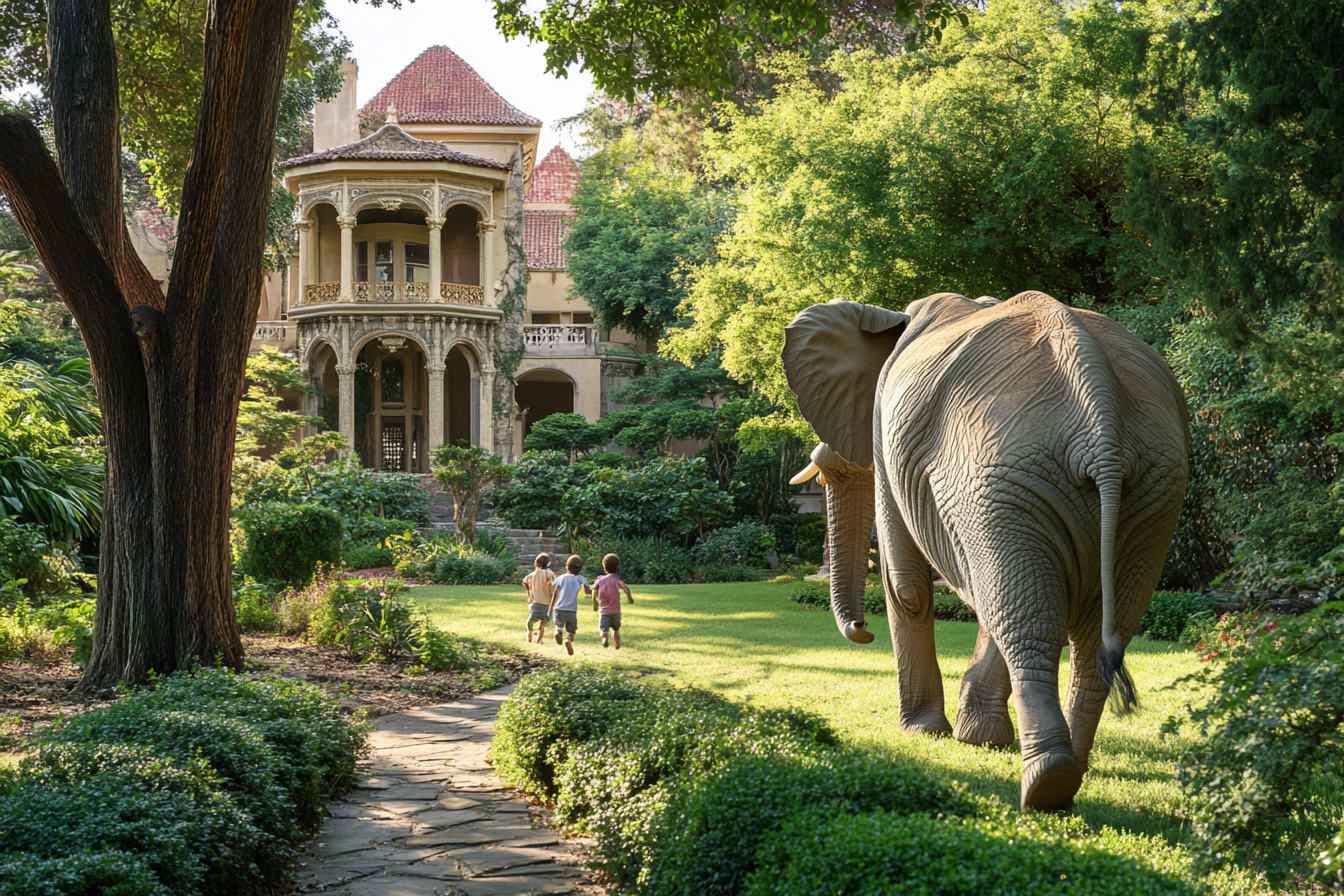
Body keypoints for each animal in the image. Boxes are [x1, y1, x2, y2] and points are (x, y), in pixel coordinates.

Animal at [784, 291, 1188, 811]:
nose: (861, 631)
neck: (889, 318)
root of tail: (1098, 406)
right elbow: (986, 592)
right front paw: (980, 739)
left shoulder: (884, 430)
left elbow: (908, 586)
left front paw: (925, 732)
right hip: (1149, 488)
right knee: (1080, 625)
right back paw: (1068, 778)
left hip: (1005, 476)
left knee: (1027, 614)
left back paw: (1044, 786)